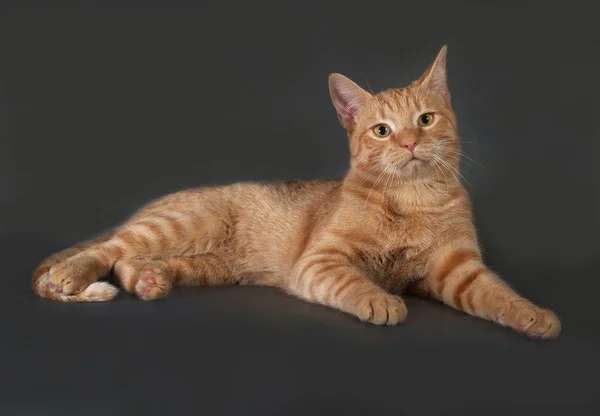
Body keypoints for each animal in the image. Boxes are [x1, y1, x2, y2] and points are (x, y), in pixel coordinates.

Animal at [30, 46, 560, 338]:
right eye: (382, 131)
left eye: (425, 120)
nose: (409, 142)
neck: (414, 201)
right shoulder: (322, 261)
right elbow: (355, 283)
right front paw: (382, 302)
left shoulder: (455, 270)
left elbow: (498, 295)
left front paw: (535, 316)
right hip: (180, 225)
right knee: (108, 248)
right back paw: (69, 274)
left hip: (207, 265)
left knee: (129, 261)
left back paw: (149, 281)